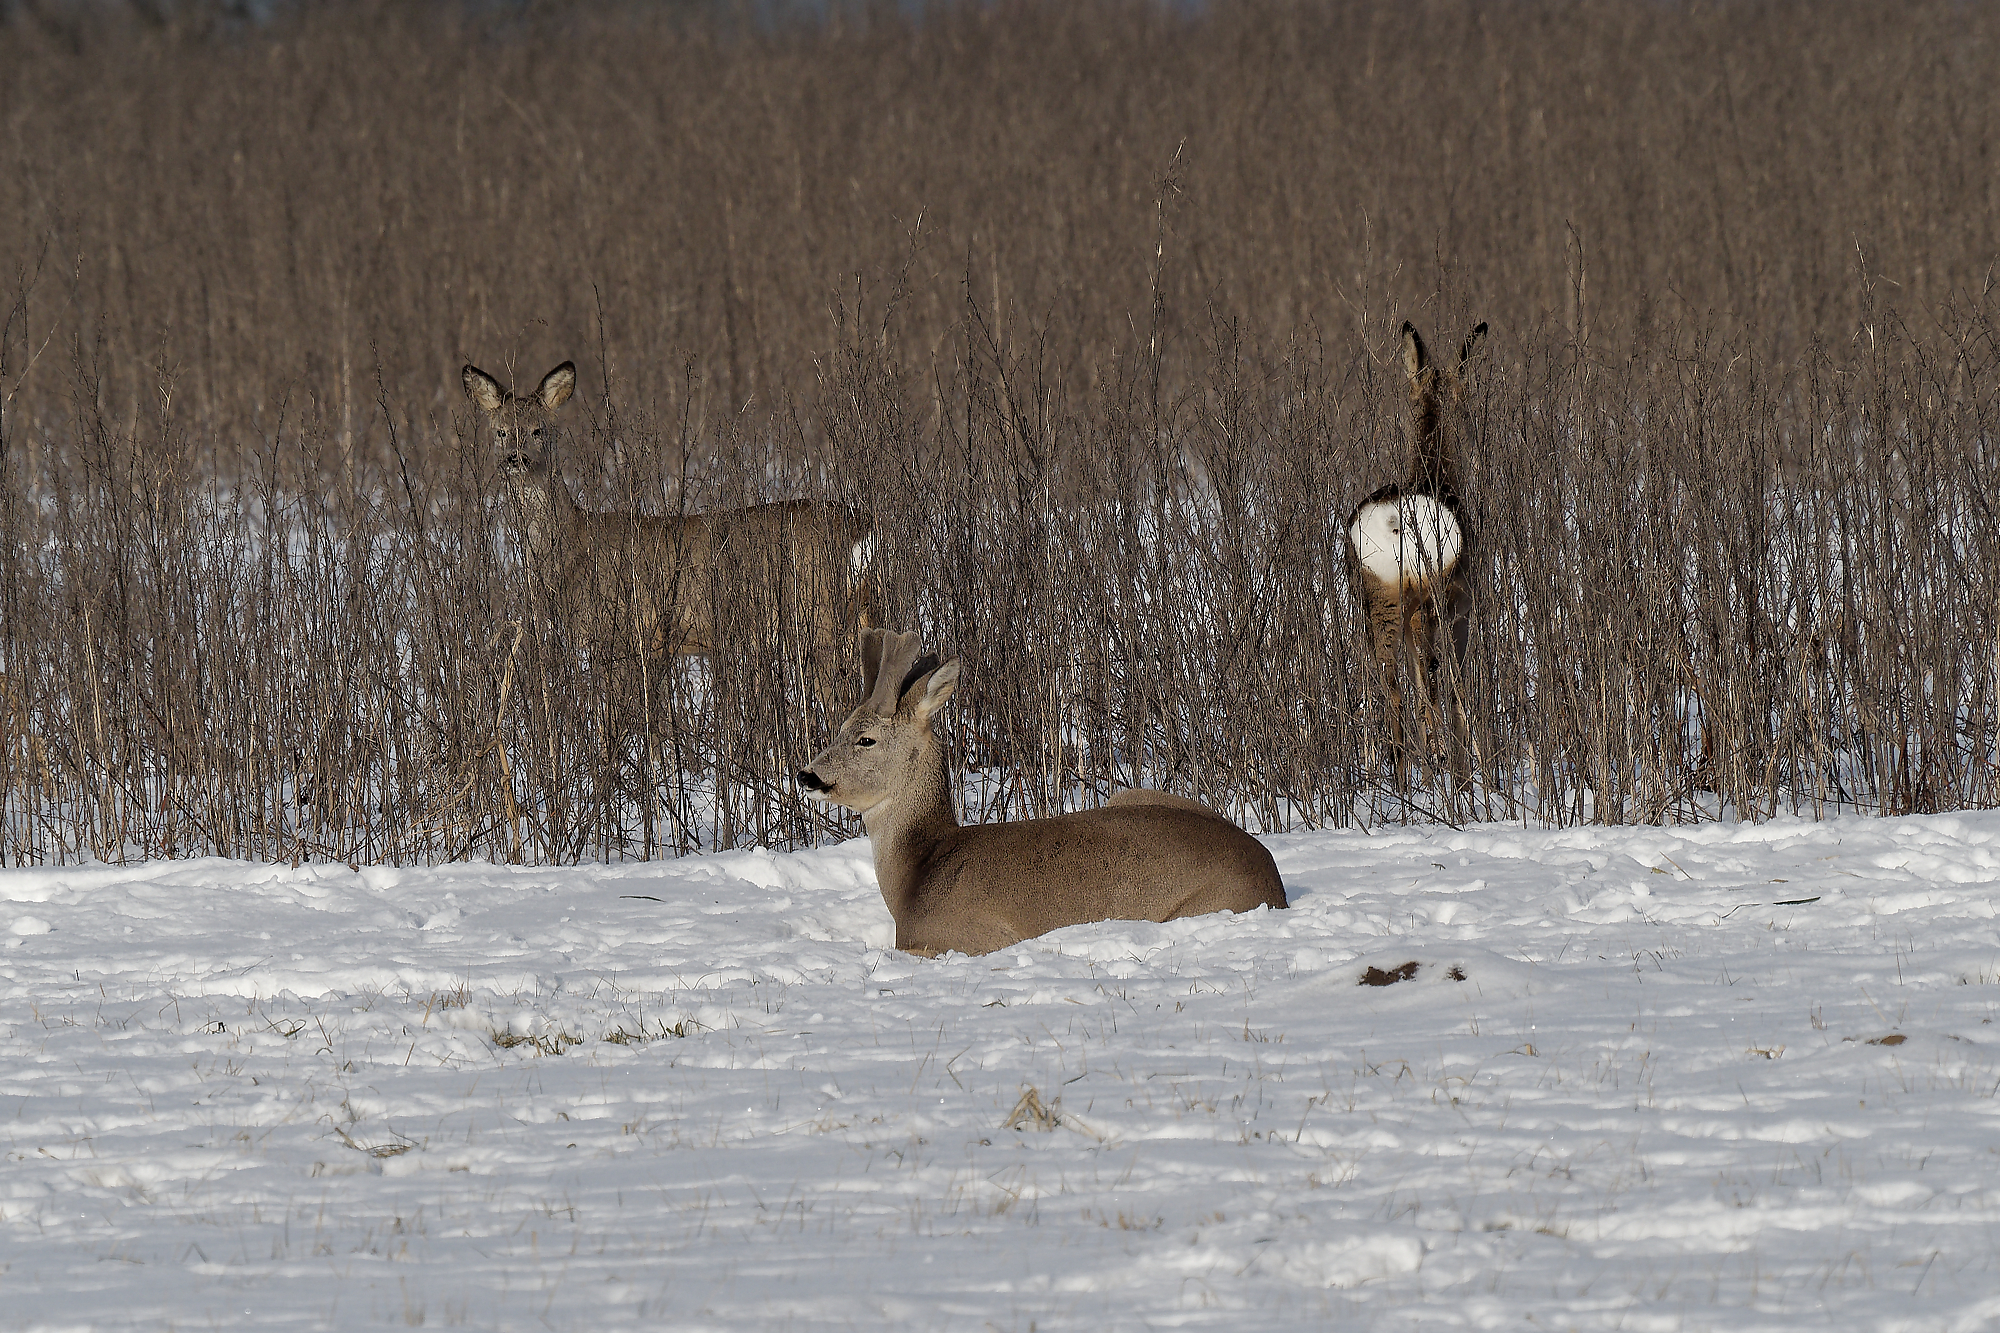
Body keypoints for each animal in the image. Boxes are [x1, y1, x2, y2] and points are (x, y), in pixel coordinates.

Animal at [468, 364, 884, 696]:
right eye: (500, 431)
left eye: (538, 430)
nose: (515, 459)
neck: (571, 544)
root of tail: (860, 526)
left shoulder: (621, 633)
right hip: (861, 611)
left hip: (819, 615)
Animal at [792, 624, 1280, 948]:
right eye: (840, 728)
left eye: (866, 739)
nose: (806, 774)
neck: (918, 872)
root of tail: (1273, 881)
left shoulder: (965, 936)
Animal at [1344, 316, 1488, 764]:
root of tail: (1395, 520)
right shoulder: (1462, 605)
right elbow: (1456, 687)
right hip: (1430, 595)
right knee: (1432, 678)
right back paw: (1441, 761)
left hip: (1379, 597)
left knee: (1391, 688)